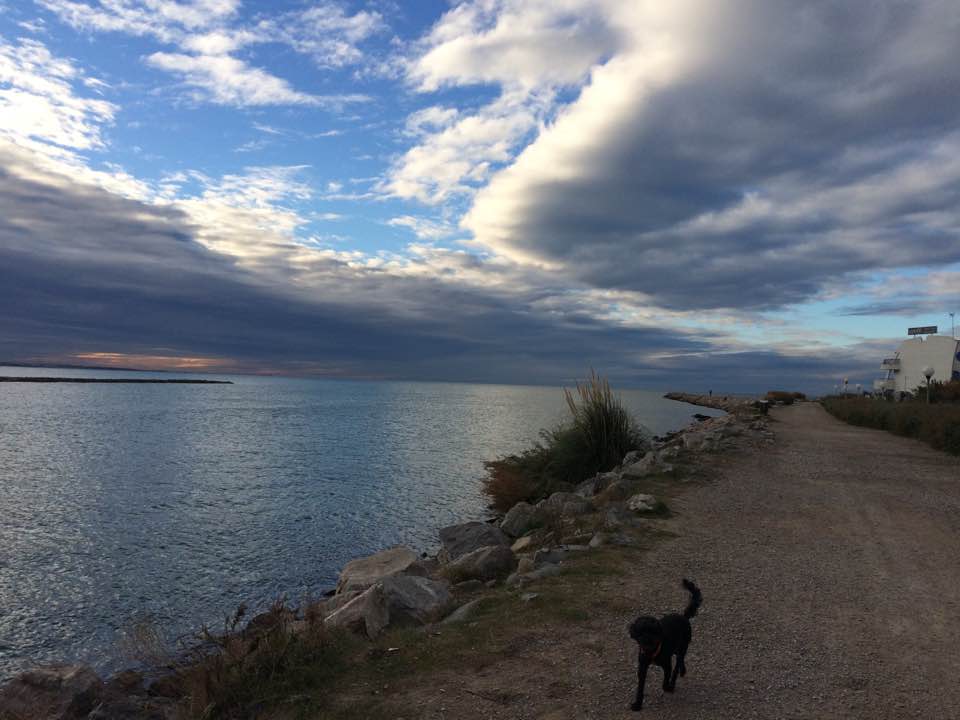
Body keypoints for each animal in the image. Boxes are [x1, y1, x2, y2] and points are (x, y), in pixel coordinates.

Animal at [628, 576, 700, 712]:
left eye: (653, 631)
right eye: (641, 632)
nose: (647, 639)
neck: (652, 651)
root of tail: (684, 617)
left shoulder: (667, 665)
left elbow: (666, 679)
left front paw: (667, 687)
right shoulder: (642, 668)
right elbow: (640, 688)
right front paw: (638, 704)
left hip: (682, 647)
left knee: (678, 665)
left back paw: (674, 681)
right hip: (677, 649)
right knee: (680, 661)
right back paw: (682, 672)